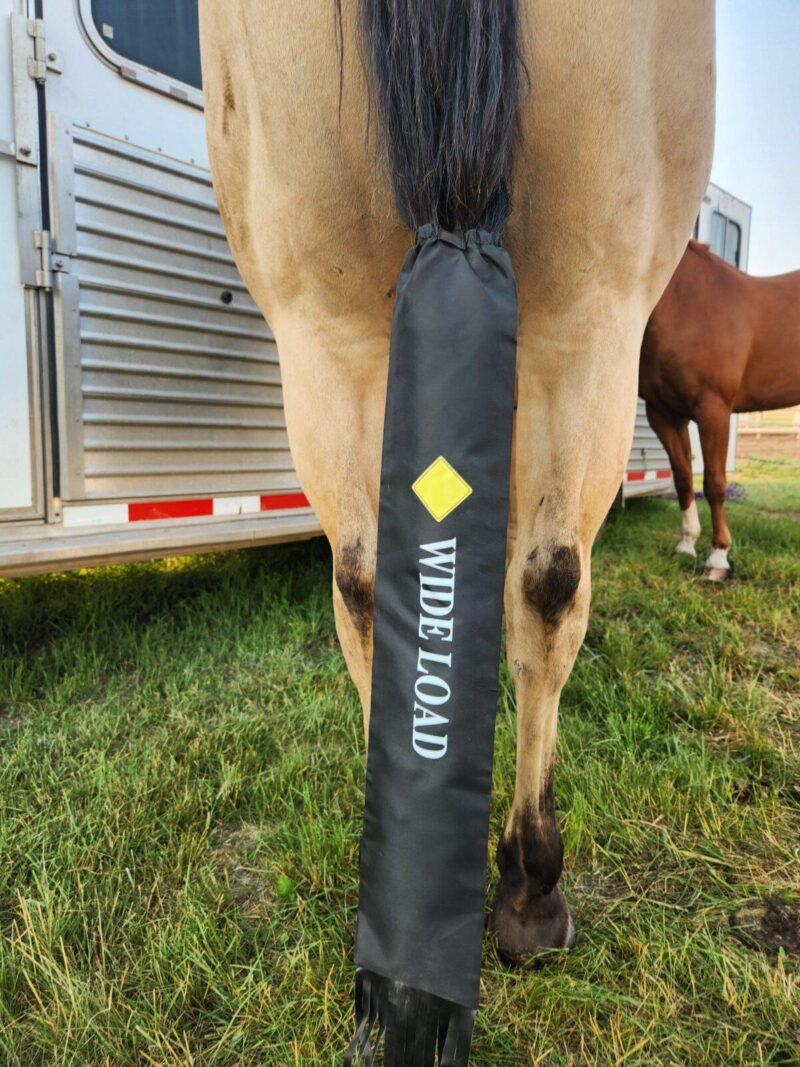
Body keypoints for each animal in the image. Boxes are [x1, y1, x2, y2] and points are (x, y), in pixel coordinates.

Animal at [644, 241, 800, 580]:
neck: (683, 301)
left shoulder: (713, 409)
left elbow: (714, 484)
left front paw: (718, 558)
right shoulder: (664, 414)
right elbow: (683, 478)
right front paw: (686, 545)